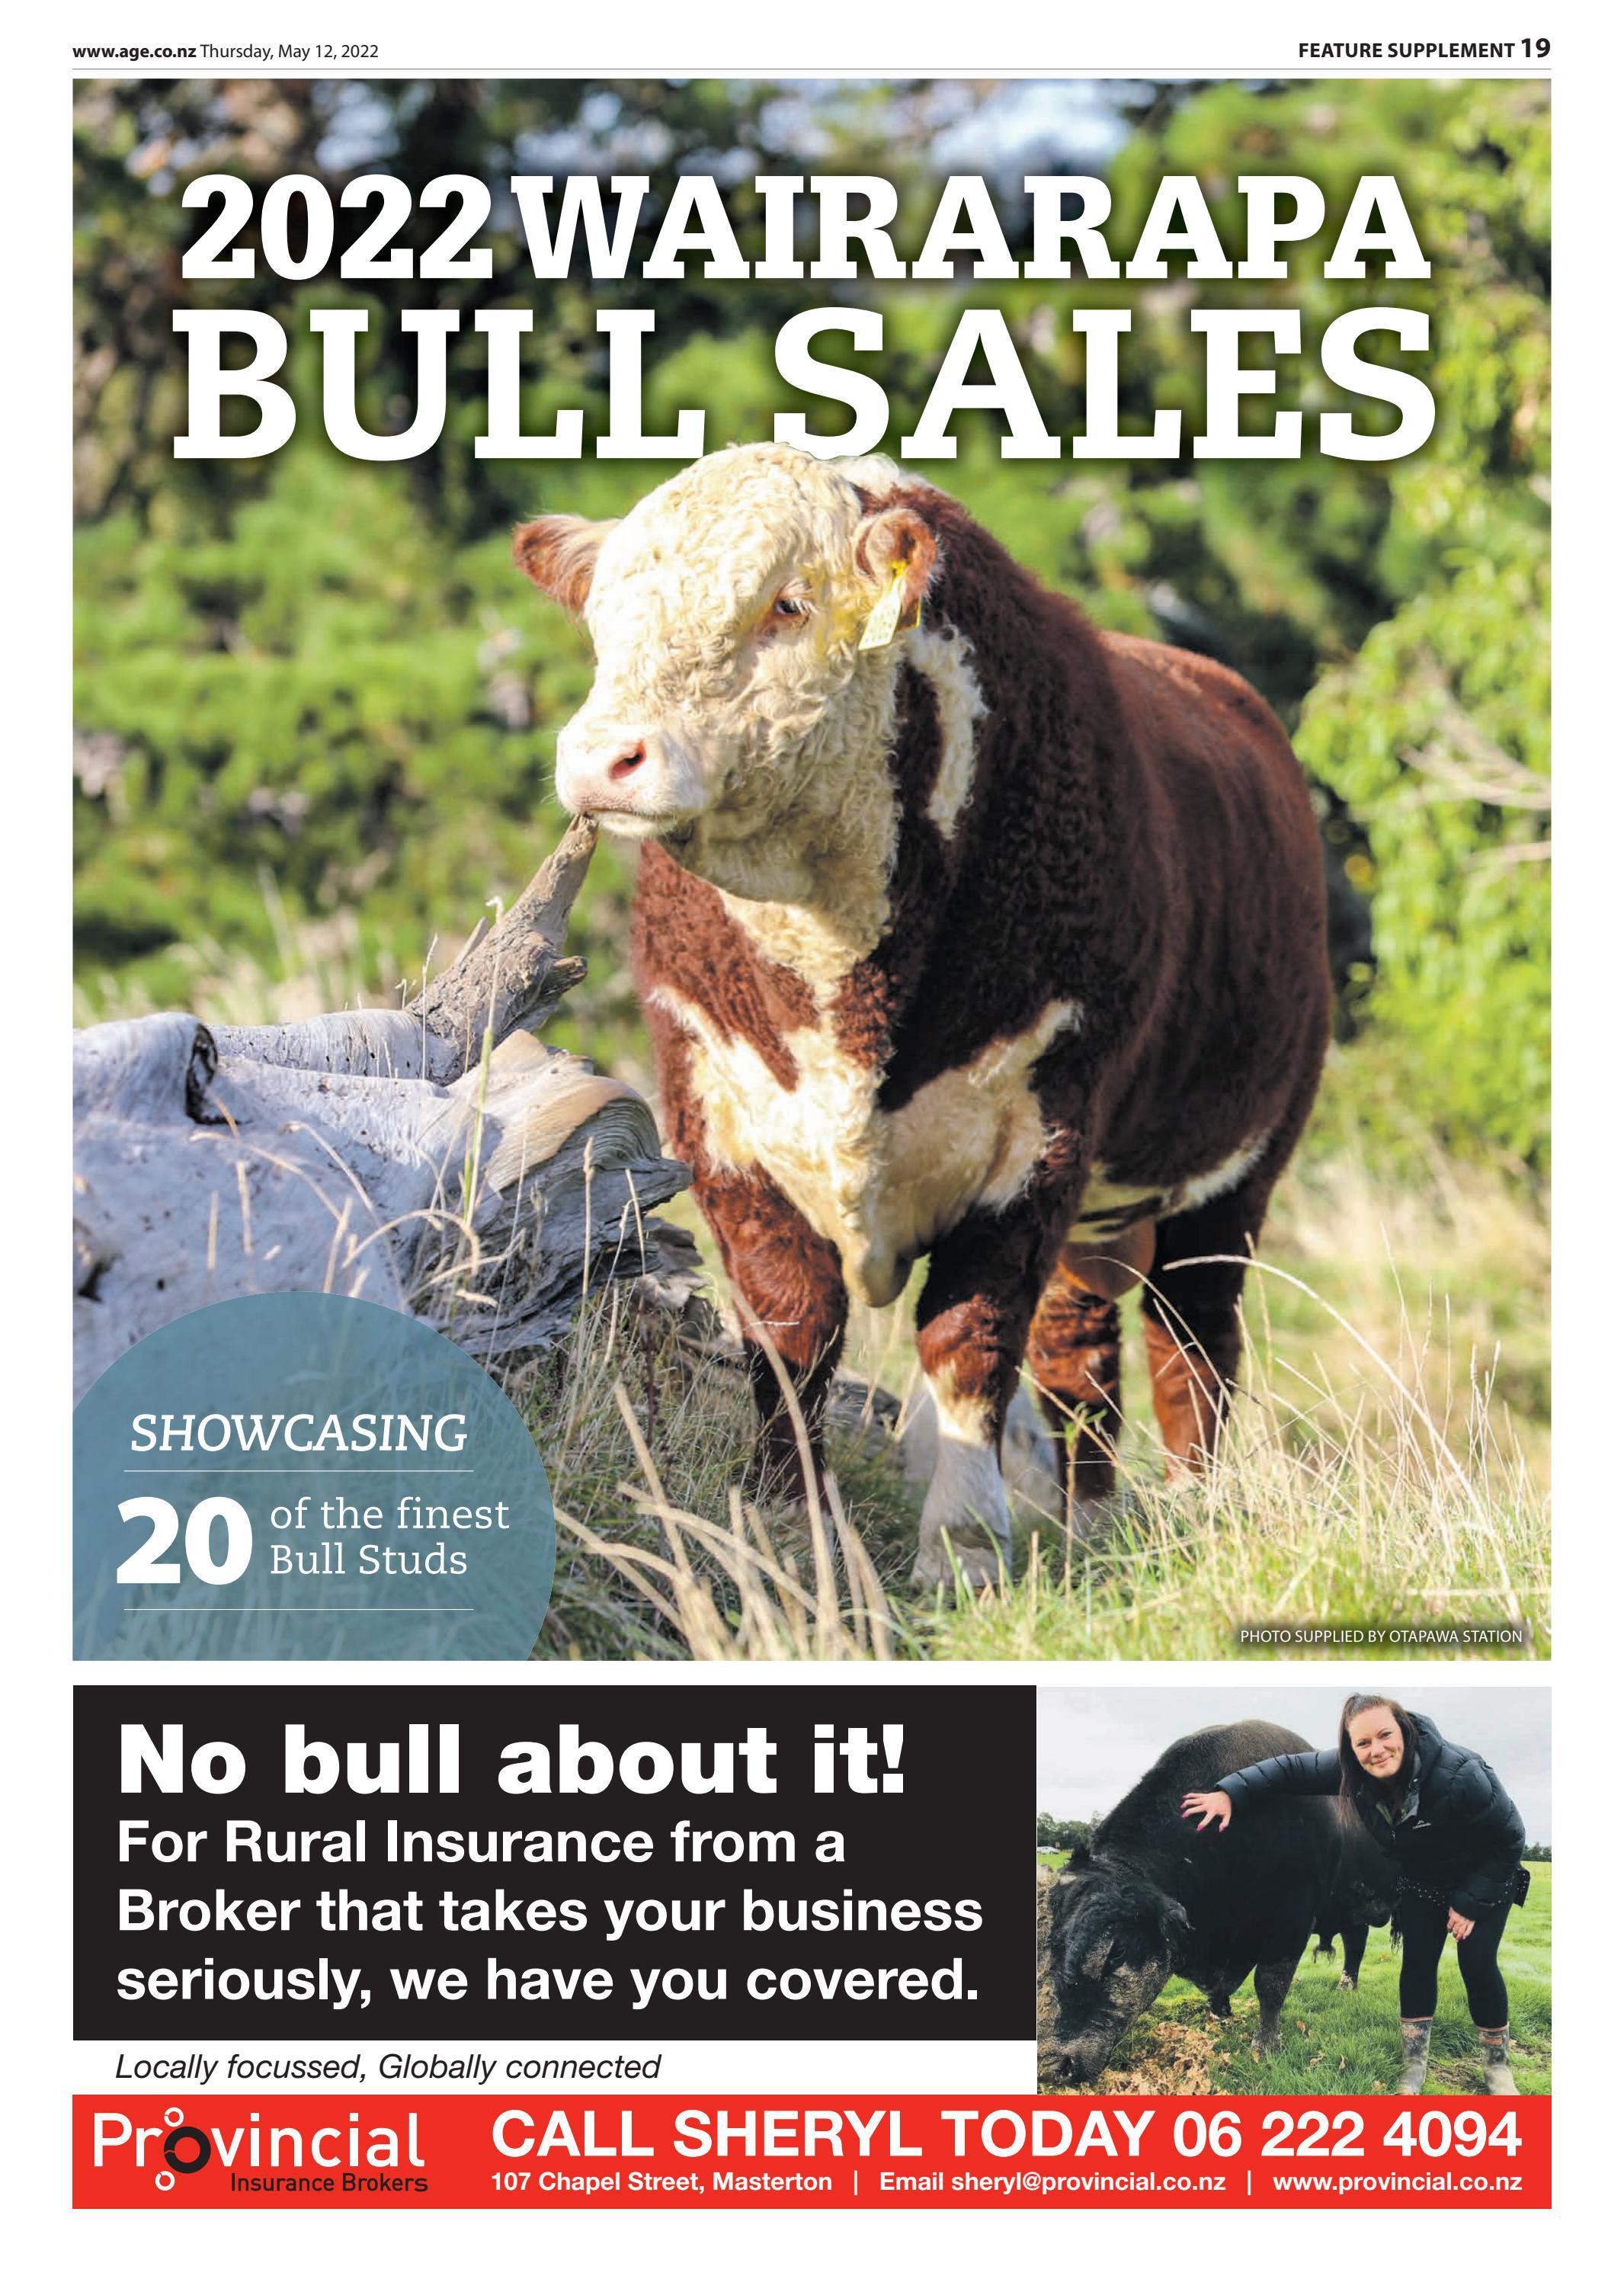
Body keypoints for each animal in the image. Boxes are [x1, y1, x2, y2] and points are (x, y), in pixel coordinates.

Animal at [515, 444, 1329, 1584]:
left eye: (788, 603)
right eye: (602, 620)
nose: (602, 758)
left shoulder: (1038, 1133)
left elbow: (968, 1337)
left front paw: (964, 1546)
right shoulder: (713, 1106)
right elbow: (788, 1327)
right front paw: (787, 1522)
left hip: (1236, 1165)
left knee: (1192, 1339)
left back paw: (1191, 1505)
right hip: (1103, 1207)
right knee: (1081, 1345)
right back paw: (1086, 1518)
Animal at [1044, 1719, 1339, 2084]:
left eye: (1115, 1952)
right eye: (1052, 1946)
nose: (1058, 2066)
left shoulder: (1292, 1920)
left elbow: (1270, 1985)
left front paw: (1266, 2046)